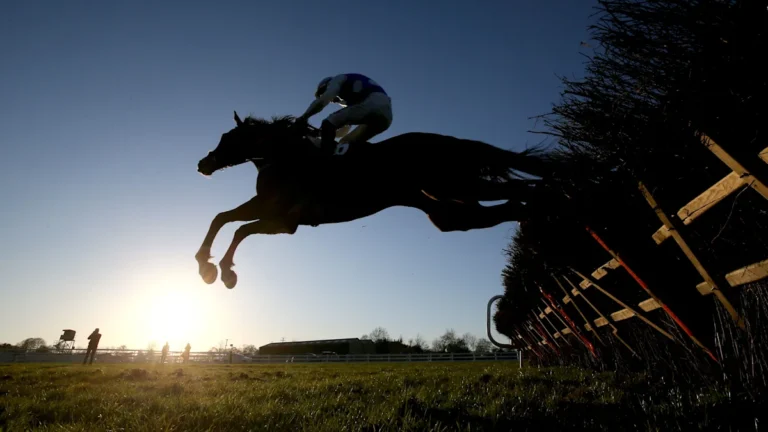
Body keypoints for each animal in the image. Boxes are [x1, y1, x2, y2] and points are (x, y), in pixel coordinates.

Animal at [195, 111, 554, 288]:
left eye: (228, 138)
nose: (203, 164)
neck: (288, 159)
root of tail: (450, 142)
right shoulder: (267, 207)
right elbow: (222, 217)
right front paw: (205, 264)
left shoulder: (284, 221)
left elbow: (240, 229)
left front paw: (223, 271)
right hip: (446, 210)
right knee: (508, 207)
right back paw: (534, 236)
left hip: (461, 186)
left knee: (523, 192)